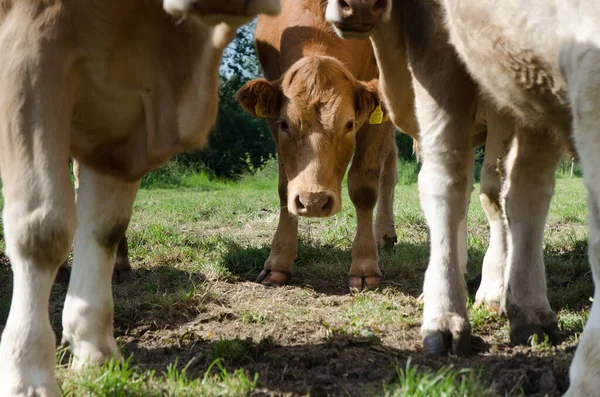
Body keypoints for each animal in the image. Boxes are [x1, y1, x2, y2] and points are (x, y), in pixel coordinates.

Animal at [237, 0, 414, 290]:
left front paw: (364, 265)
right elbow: (284, 186)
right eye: (285, 124)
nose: (313, 201)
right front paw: (279, 261)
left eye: (349, 124)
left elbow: (364, 187)